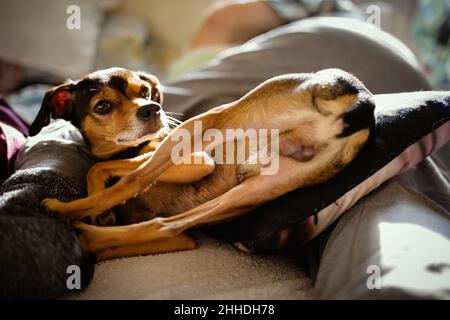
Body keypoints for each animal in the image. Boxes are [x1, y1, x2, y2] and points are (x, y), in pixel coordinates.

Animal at [29, 67, 374, 260]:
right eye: (102, 106)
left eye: (145, 91)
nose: (152, 109)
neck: (127, 150)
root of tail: (362, 101)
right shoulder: (181, 240)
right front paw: (101, 224)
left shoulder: (198, 160)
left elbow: (100, 168)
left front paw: (99, 205)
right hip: (249, 193)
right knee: (162, 225)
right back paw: (87, 233)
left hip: (207, 124)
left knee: (136, 179)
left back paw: (65, 212)